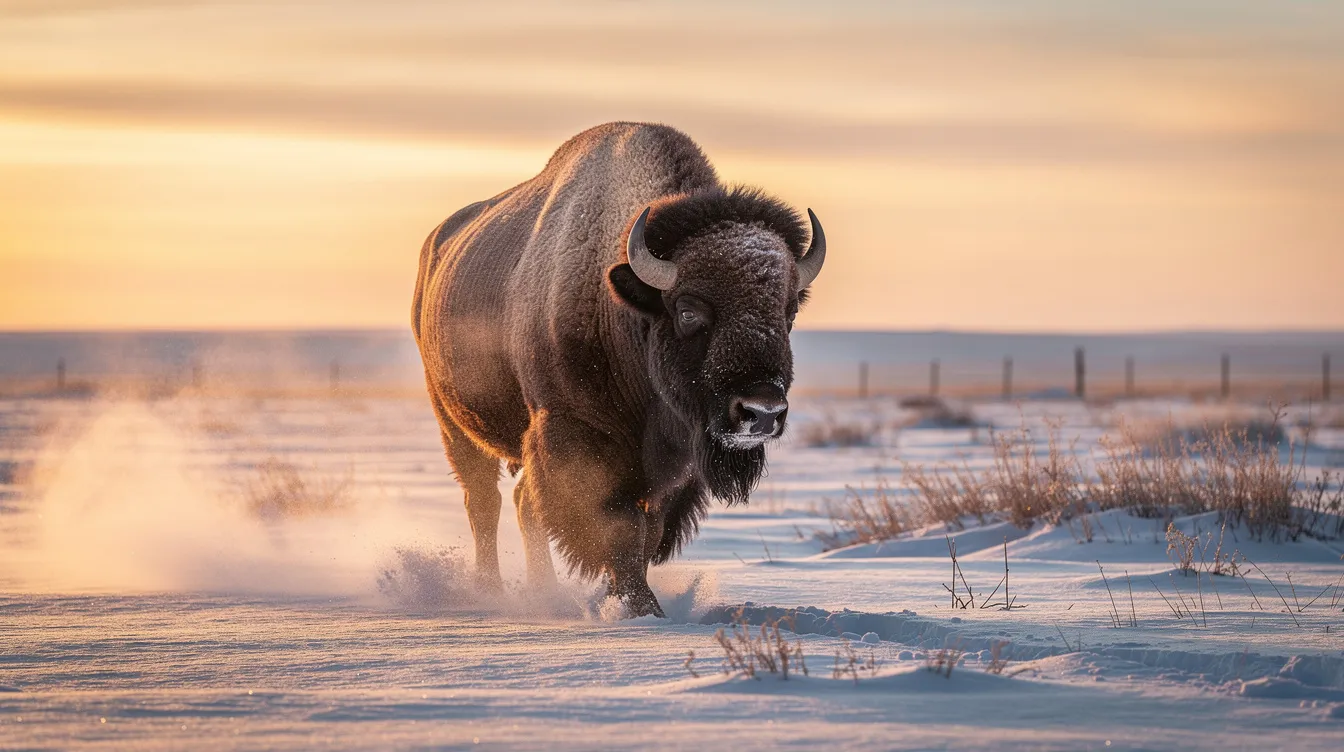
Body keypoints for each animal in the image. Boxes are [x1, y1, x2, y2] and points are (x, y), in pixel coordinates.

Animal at [412, 122, 826, 616]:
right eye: (687, 310)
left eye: (788, 312)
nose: (761, 412)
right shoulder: (575, 439)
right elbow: (617, 528)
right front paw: (640, 608)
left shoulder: (675, 469)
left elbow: (648, 532)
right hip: (453, 423)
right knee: (484, 501)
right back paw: (491, 591)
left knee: (523, 503)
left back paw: (541, 589)